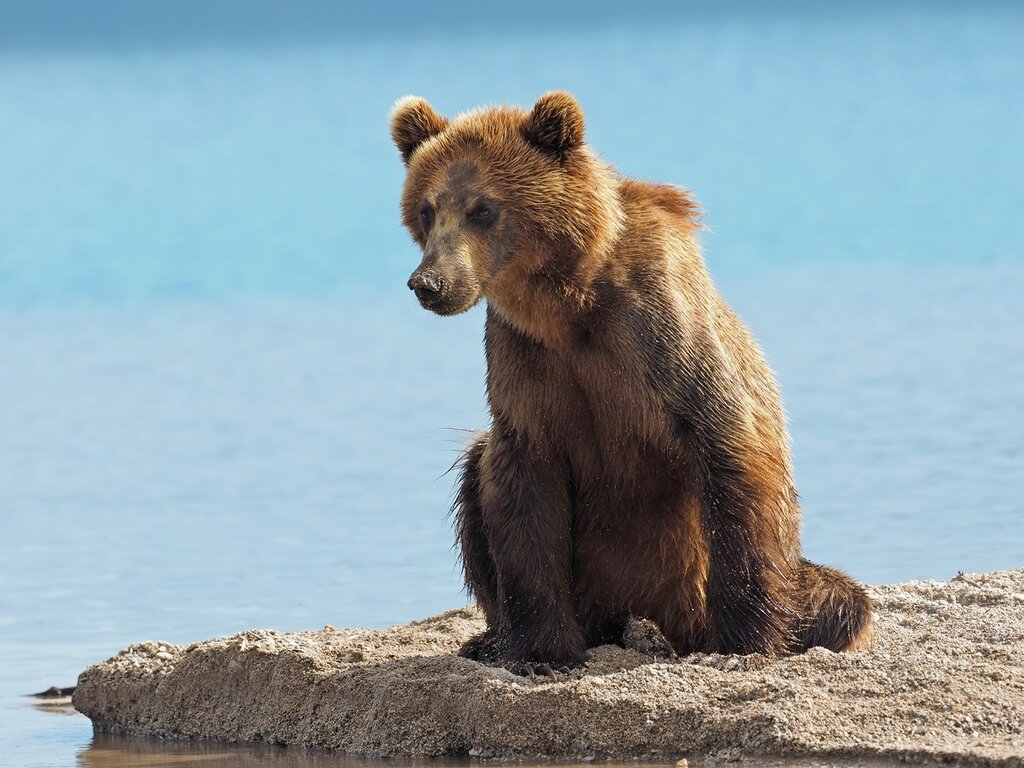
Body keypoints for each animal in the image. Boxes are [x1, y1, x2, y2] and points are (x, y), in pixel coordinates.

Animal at [389, 93, 872, 675]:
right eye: (426, 209)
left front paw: (742, 640)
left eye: (482, 208)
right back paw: (491, 639)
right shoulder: (525, 361)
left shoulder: (658, 334)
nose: (429, 283)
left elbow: (728, 448)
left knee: (840, 598)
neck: (569, 303)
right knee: (474, 472)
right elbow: (521, 487)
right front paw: (540, 652)